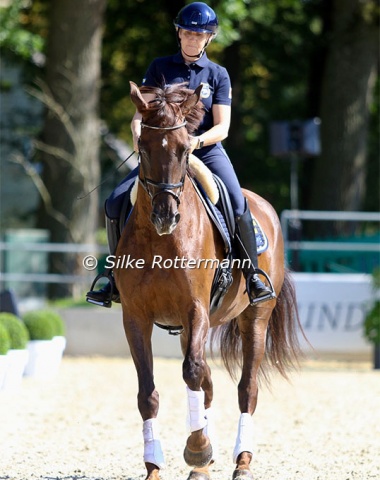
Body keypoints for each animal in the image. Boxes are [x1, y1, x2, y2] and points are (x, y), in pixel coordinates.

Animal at [114, 82, 302, 480]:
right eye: (142, 147)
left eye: (185, 149)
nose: (165, 216)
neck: (161, 240)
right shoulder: (135, 317)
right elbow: (148, 393)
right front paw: (156, 466)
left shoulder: (195, 308)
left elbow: (192, 372)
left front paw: (197, 449)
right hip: (187, 329)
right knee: (208, 381)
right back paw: (205, 461)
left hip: (255, 318)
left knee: (246, 388)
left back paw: (241, 461)